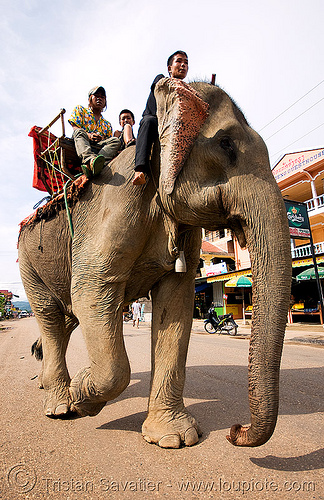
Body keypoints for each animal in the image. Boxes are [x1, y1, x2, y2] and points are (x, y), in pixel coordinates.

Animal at [18, 78, 292, 450]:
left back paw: (49, 383)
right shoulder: (119, 202)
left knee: (66, 318)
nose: (236, 430)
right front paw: (83, 397)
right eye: (225, 144)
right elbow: (91, 289)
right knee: (50, 314)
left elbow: (174, 305)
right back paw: (61, 405)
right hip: (28, 261)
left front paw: (174, 439)